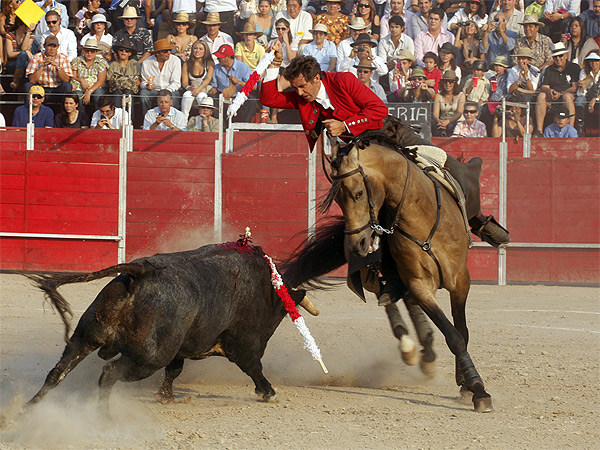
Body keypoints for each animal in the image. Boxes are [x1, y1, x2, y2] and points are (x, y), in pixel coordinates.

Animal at [24, 243, 332, 412]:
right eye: (279, 316)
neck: (266, 287)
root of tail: (140, 272)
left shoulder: (180, 349)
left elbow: (175, 371)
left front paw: (166, 397)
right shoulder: (244, 344)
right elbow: (254, 367)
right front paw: (267, 392)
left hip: (84, 337)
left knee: (58, 372)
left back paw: (26, 409)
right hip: (147, 359)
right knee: (109, 373)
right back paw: (104, 416)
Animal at [322, 132, 494, 414]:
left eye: (358, 193)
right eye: (337, 200)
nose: (356, 245)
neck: (421, 215)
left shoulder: (461, 280)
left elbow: (462, 331)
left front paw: (469, 384)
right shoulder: (418, 283)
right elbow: (453, 335)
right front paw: (478, 389)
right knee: (389, 298)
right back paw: (411, 347)